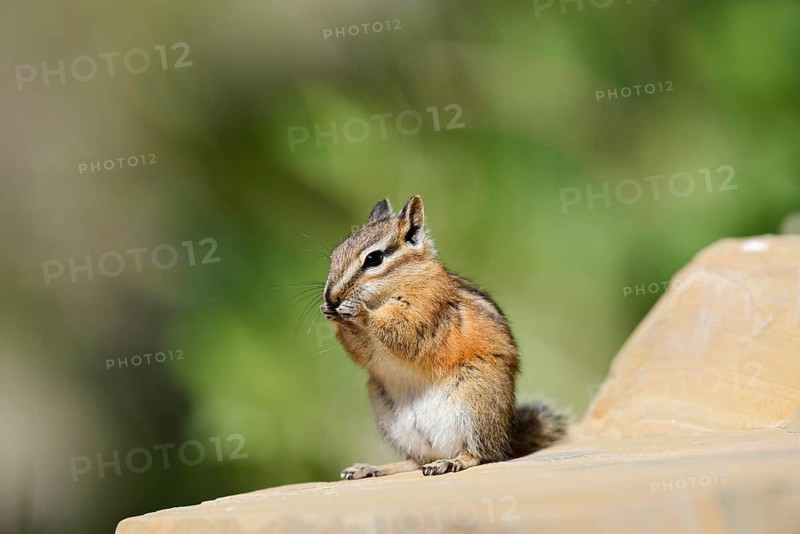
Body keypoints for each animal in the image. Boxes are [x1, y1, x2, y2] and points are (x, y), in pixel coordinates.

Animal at [321, 195, 568, 478]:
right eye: (335, 254)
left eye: (374, 258)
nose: (331, 297)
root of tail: (505, 438)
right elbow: (363, 350)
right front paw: (331, 313)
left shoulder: (424, 311)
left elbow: (402, 333)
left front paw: (358, 311)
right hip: (390, 414)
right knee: (415, 461)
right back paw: (371, 468)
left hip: (474, 401)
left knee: (480, 455)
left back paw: (452, 462)